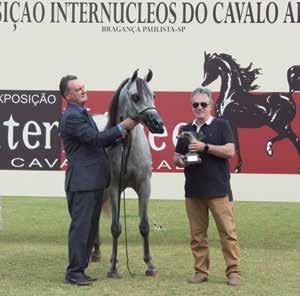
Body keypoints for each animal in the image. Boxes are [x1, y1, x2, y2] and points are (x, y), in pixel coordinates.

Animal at [94, 69, 164, 278]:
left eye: (154, 95)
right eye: (135, 96)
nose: (158, 124)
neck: (127, 145)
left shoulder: (144, 187)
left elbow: (144, 226)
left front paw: (150, 265)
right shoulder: (114, 189)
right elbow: (116, 227)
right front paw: (113, 267)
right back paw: (94, 252)